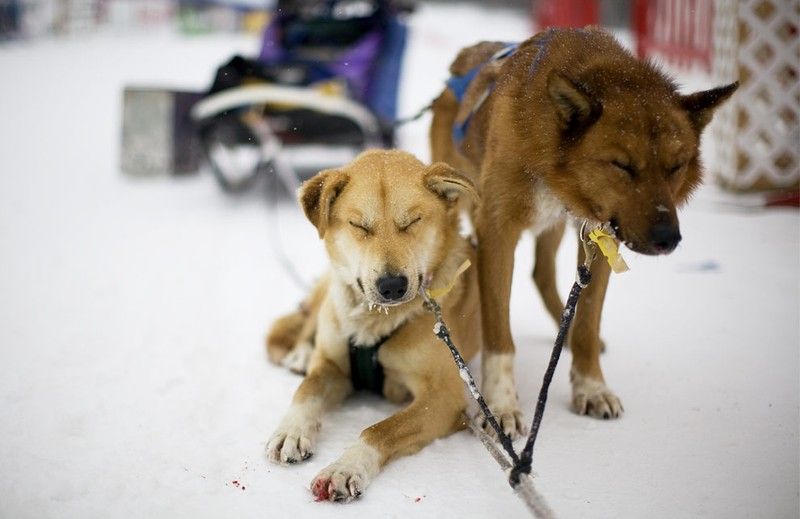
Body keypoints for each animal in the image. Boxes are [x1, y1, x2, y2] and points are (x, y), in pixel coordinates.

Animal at [266, 148, 484, 502]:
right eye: (359, 226)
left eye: (411, 222)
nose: (392, 286)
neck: (375, 322)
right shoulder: (332, 368)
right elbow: (306, 390)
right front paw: (292, 430)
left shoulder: (443, 397)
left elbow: (379, 429)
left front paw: (345, 467)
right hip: (326, 296)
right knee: (307, 325)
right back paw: (300, 355)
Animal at [432, 26, 736, 436]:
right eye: (623, 165)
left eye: (676, 166)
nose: (668, 239)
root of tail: (459, 64)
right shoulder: (497, 229)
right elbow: (499, 334)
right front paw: (500, 405)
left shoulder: (601, 235)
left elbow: (589, 321)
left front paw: (591, 387)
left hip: (554, 228)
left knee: (542, 272)